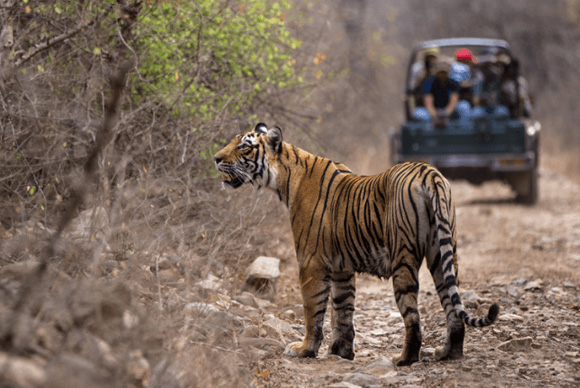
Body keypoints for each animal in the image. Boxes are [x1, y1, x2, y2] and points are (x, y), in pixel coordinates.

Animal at [214, 123, 498, 366]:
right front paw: (341, 351)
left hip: (403, 259)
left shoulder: (310, 261)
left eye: (244, 147)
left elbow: (313, 309)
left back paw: (405, 359)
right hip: (442, 254)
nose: (216, 158)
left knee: (413, 316)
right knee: (452, 307)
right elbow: (343, 310)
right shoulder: (342, 268)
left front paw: (305, 349)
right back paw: (449, 354)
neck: (284, 179)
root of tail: (429, 173)